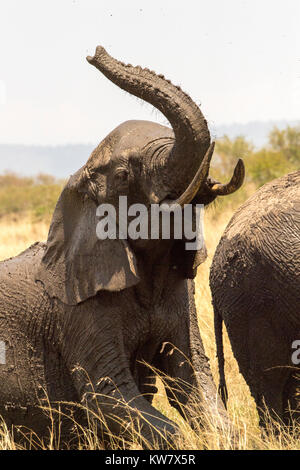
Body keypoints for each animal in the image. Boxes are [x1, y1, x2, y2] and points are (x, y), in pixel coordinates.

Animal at [0, 46, 244, 448]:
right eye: (123, 175)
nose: (95, 52)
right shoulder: (77, 311)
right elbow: (109, 395)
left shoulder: (183, 295)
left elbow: (193, 381)